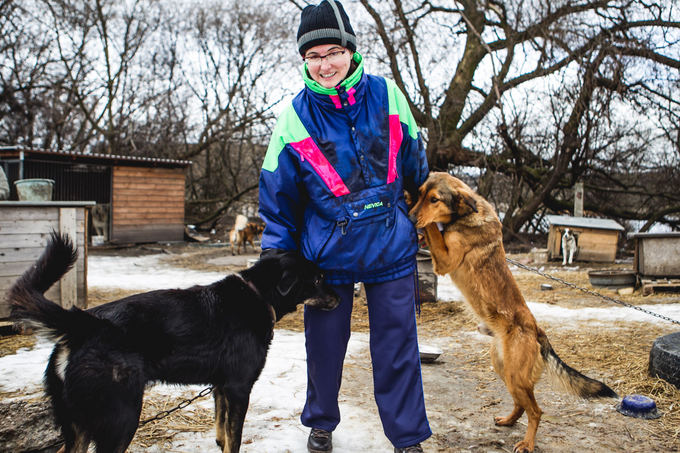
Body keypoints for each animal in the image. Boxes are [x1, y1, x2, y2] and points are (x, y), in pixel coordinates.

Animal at [9, 233, 338, 452]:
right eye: (318, 279)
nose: (338, 298)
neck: (256, 294)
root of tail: (84, 324)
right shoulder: (238, 388)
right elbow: (234, 439)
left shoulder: (220, 388)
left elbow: (221, 432)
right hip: (121, 419)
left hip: (76, 426)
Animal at [406, 171, 620, 450]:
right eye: (421, 194)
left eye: (434, 199)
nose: (410, 217)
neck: (463, 216)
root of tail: (537, 330)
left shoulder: (445, 260)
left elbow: (433, 228)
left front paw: (426, 222)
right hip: (504, 369)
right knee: (522, 405)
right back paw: (508, 421)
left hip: (515, 376)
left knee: (536, 411)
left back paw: (527, 443)